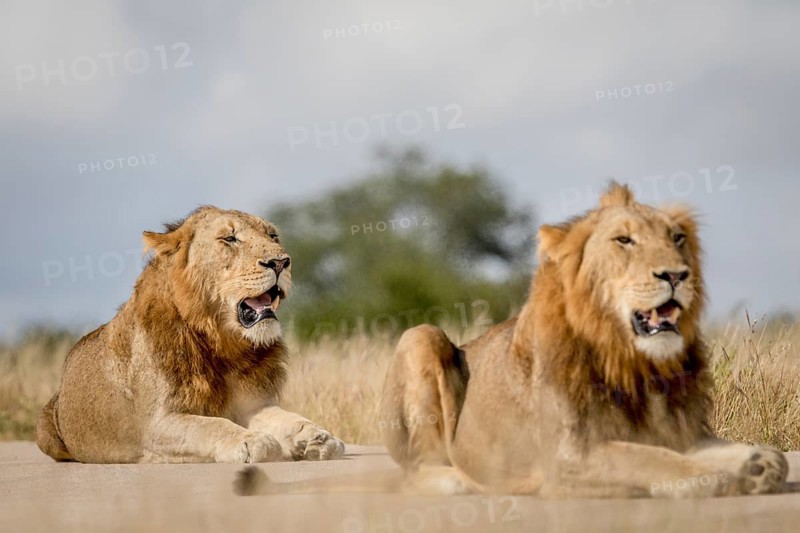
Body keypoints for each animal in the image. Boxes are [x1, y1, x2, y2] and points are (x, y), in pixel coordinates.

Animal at [36, 206, 344, 464]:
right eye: (230, 238)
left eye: (273, 235)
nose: (281, 262)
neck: (223, 344)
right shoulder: (156, 424)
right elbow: (210, 425)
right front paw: (250, 440)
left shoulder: (253, 404)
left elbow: (288, 419)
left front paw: (319, 437)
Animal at [375, 182, 789, 498]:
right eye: (624, 240)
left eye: (677, 237)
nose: (676, 275)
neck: (634, 362)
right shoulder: (566, 458)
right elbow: (647, 459)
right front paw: (716, 478)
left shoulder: (681, 432)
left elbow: (764, 456)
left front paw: (758, 464)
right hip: (420, 335)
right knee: (417, 471)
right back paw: (463, 481)